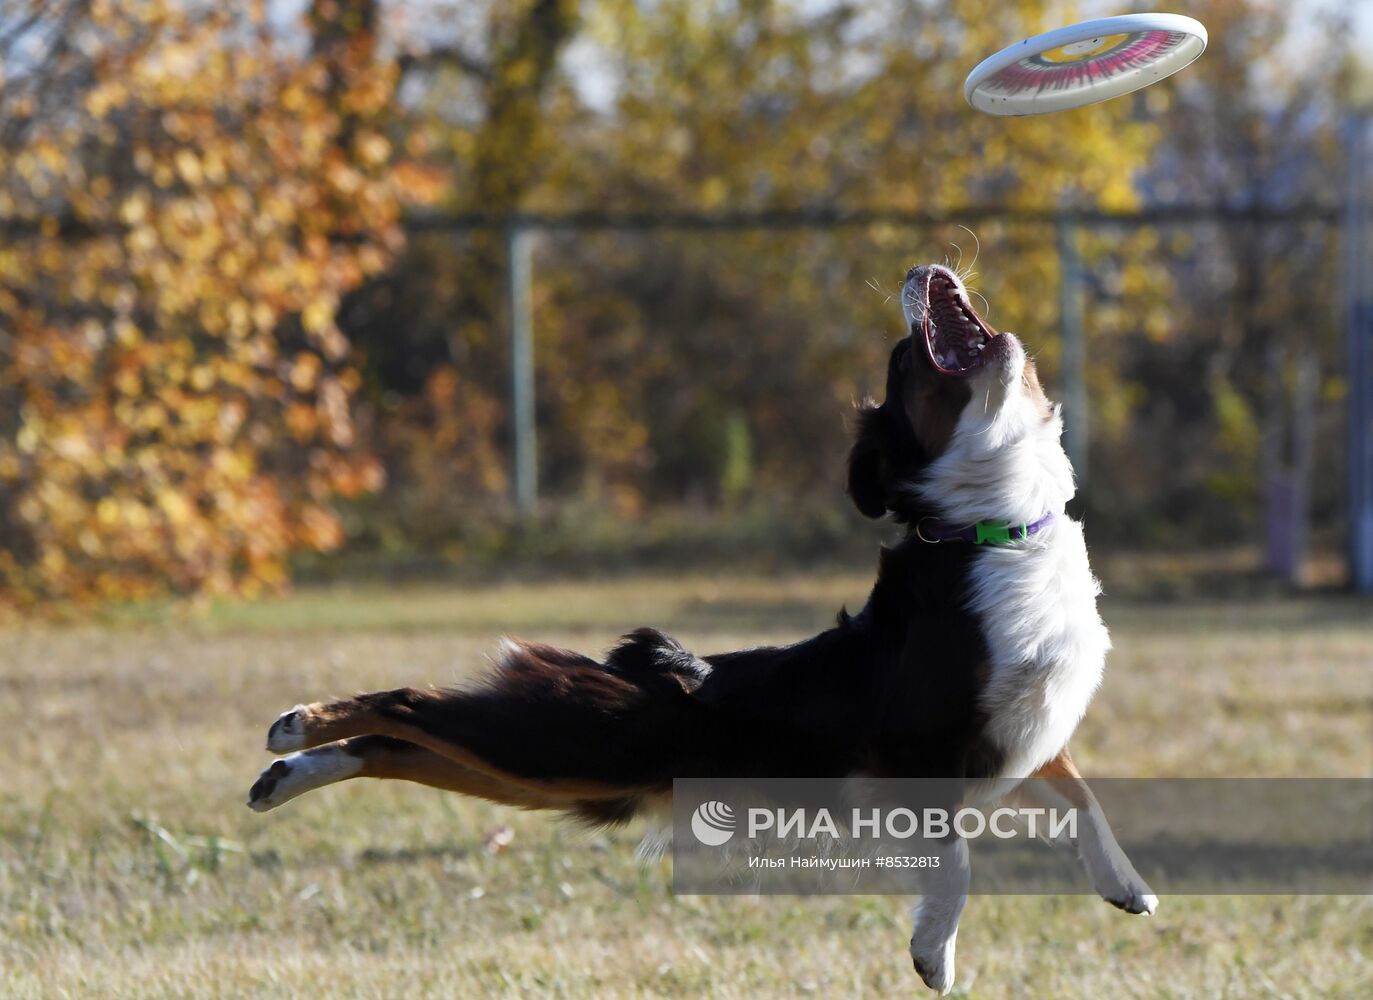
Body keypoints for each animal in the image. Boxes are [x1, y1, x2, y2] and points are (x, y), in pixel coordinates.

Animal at [249, 263, 1158, 994]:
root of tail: (632, 670)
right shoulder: (914, 752)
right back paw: (295, 724)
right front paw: (934, 954)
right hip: (561, 742)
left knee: (400, 745)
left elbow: (1084, 798)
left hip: (566, 774)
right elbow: (959, 859)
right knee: (404, 703)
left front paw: (1127, 886)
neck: (998, 530)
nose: (918, 268)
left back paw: (289, 774)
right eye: (904, 364)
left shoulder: (1028, 735)